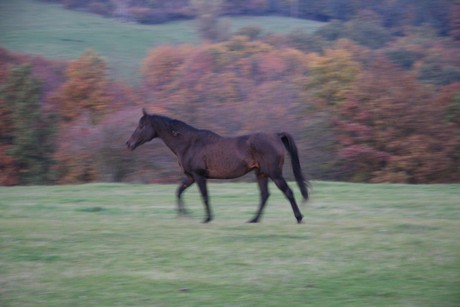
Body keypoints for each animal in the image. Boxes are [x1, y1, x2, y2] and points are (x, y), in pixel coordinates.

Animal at [126, 110, 310, 224]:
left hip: (274, 174)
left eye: (141, 126)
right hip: (261, 174)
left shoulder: (199, 176)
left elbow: (205, 196)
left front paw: (207, 218)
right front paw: (184, 215)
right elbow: (179, 191)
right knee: (265, 195)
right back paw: (254, 220)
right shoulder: (191, 177)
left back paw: (299, 217)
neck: (189, 143)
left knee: (288, 192)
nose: (129, 144)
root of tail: (276, 135)